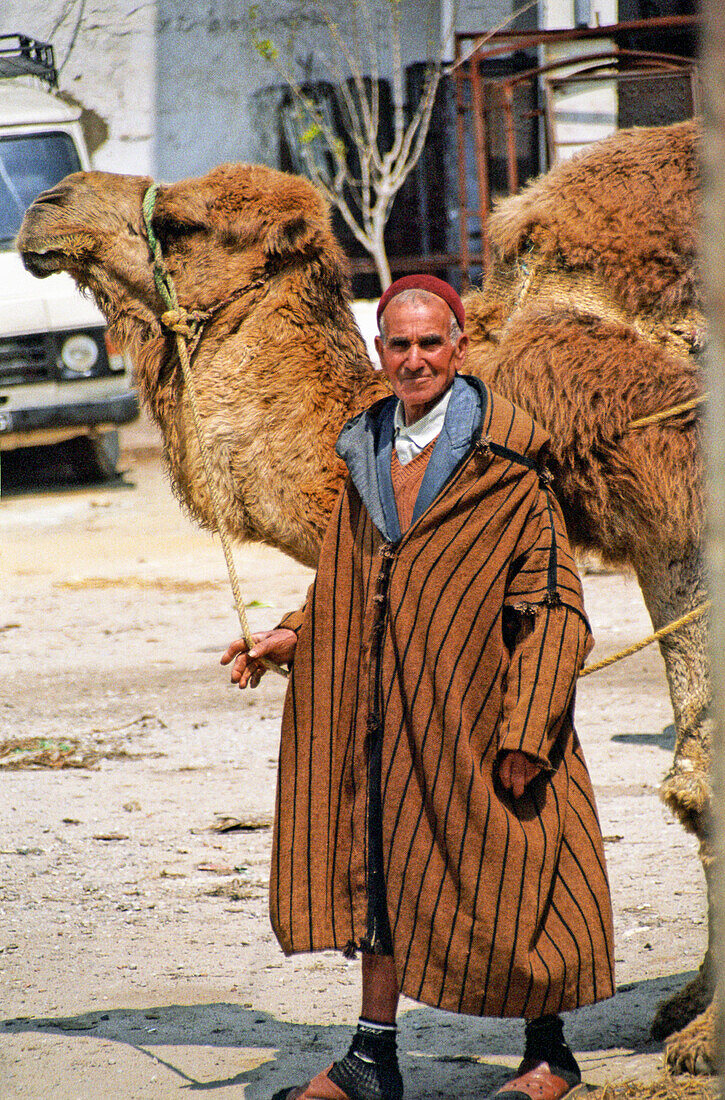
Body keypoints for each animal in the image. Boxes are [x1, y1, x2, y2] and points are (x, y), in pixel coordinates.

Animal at [18, 120, 712, 1073]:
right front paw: (689, 1010)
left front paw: (704, 1038)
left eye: (185, 223)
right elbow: (695, 768)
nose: (46, 205)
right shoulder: (659, 535)